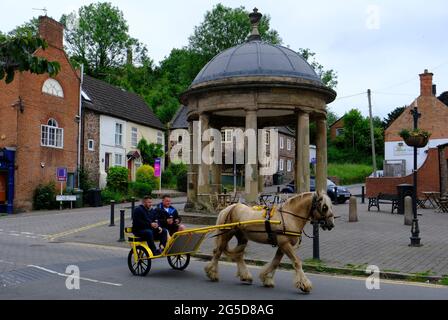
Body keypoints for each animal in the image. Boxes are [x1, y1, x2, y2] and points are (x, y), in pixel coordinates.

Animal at [205, 191, 334, 294]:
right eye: (324, 207)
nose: (331, 224)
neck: (289, 217)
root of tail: (229, 208)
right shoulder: (285, 244)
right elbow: (297, 262)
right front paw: (304, 285)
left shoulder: (282, 246)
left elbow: (275, 262)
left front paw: (266, 278)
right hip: (226, 234)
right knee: (217, 252)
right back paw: (212, 273)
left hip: (242, 237)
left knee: (239, 255)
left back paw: (245, 276)